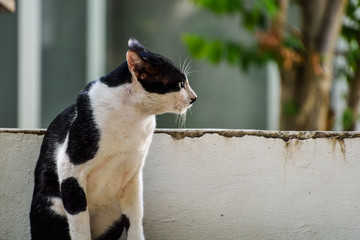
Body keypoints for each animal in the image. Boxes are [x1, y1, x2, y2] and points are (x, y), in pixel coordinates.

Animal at [29, 38, 197, 240]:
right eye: (180, 84)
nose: (194, 97)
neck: (134, 116)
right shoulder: (71, 171)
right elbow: (80, 229)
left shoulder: (132, 176)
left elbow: (135, 218)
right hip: (53, 203)